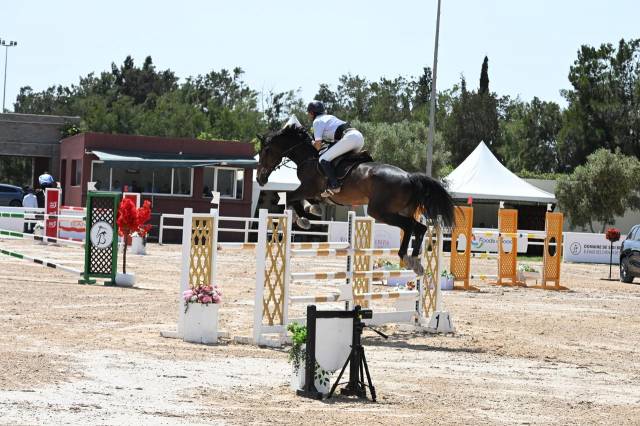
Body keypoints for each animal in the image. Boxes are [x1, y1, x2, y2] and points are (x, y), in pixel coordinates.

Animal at [256, 121, 455, 275]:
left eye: (266, 150)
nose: (260, 179)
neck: (309, 157)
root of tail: (409, 177)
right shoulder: (316, 193)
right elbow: (307, 201)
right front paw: (312, 211)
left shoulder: (307, 187)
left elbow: (290, 197)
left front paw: (302, 220)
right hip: (402, 210)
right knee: (420, 227)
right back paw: (415, 261)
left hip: (380, 211)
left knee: (410, 226)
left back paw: (405, 255)